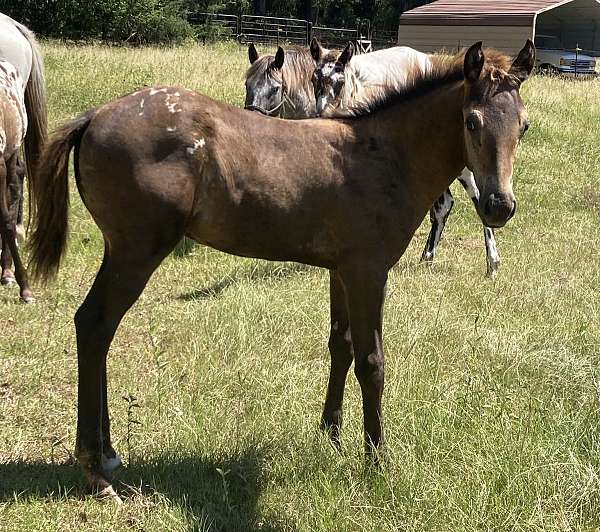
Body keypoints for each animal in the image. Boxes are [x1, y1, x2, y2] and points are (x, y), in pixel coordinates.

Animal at [310, 39, 502, 276]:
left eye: (339, 81)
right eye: (314, 78)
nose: (320, 113)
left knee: (468, 197)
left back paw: (491, 263)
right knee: (445, 204)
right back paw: (427, 258)